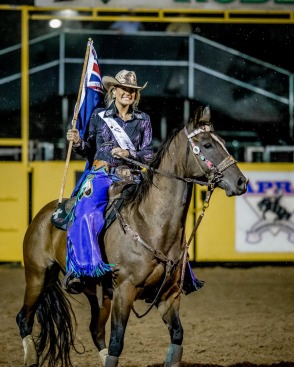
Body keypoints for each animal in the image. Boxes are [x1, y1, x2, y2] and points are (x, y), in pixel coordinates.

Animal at [15, 105, 246, 366]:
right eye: (207, 145)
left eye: (223, 142)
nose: (241, 181)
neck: (150, 225)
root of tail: (44, 214)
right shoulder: (124, 291)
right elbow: (117, 341)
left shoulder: (169, 294)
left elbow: (177, 335)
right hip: (38, 276)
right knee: (24, 317)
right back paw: (31, 357)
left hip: (96, 292)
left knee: (95, 329)